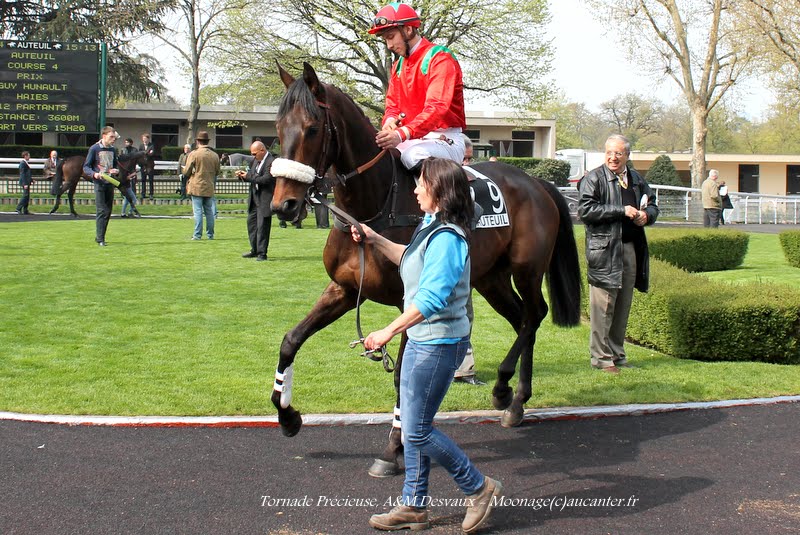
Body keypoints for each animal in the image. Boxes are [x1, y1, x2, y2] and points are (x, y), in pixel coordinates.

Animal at [268, 62, 580, 478]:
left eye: (313, 128)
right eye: (277, 127)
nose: (283, 205)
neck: (375, 205)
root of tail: (536, 181)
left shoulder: (410, 301)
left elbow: (404, 374)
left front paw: (393, 448)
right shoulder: (344, 290)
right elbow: (291, 340)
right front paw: (287, 415)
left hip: (526, 270)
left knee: (534, 314)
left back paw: (506, 390)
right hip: (490, 279)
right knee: (521, 319)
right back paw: (513, 399)